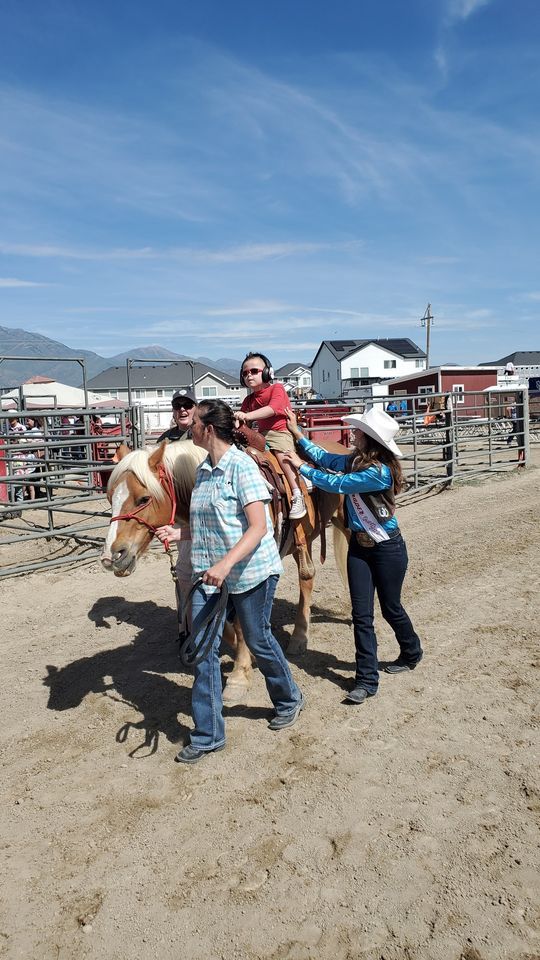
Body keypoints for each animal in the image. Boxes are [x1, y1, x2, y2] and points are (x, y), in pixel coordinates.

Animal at [101, 439, 348, 701]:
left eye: (144, 499)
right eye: (110, 497)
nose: (112, 556)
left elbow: (240, 620)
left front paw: (240, 675)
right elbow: (219, 618)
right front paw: (248, 656)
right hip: (304, 541)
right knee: (307, 578)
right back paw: (300, 638)